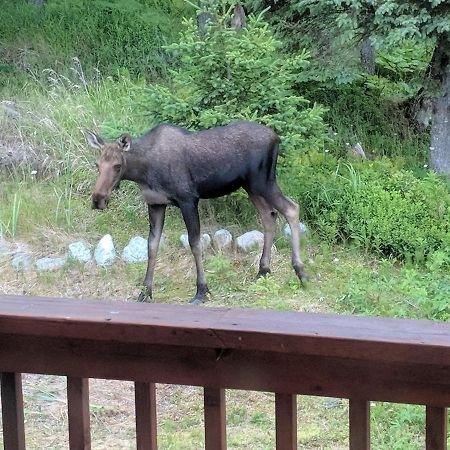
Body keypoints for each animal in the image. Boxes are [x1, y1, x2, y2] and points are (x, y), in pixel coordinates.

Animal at [83, 120, 310, 302]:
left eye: (117, 165)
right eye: (97, 164)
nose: (98, 199)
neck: (143, 173)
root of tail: (277, 137)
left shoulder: (188, 200)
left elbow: (195, 243)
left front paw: (202, 290)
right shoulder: (156, 203)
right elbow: (152, 245)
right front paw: (145, 291)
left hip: (263, 181)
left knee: (291, 208)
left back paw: (301, 272)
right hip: (250, 186)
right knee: (269, 216)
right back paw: (263, 271)